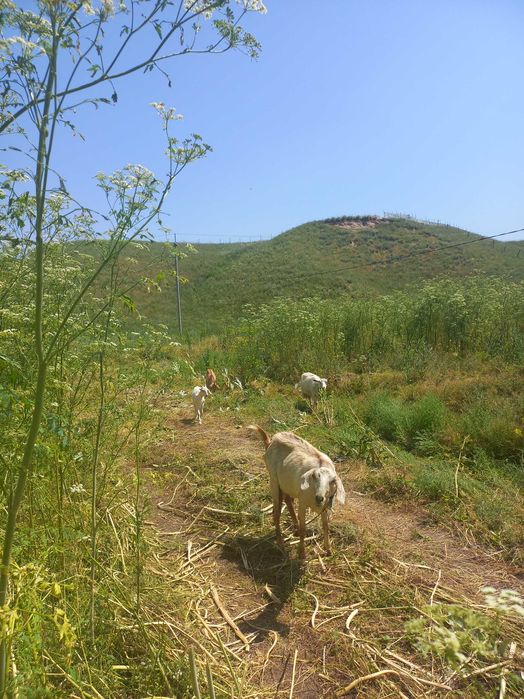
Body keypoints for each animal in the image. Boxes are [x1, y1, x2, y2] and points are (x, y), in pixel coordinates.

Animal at [248, 425, 345, 558]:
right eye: (314, 476)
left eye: (332, 481)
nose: (319, 497)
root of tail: (271, 441)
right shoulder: (303, 502)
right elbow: (304, 528)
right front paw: (302, 553)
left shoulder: (326, 507)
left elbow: (326, 526)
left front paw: (328, 550)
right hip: (274, 480)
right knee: (276, 513)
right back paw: (281, 545)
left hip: (286, 484)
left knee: (288, 500)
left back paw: (295, 527)